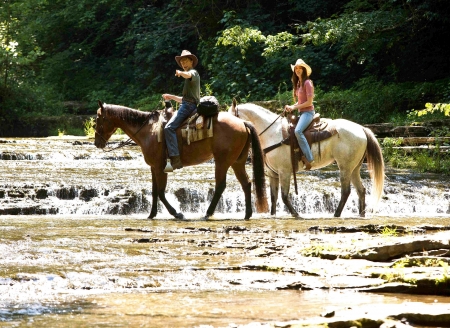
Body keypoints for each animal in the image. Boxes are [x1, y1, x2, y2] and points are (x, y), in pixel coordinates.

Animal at [94, 101, 268, 219]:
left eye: (98, 118)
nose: (97, 143)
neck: (148, 131)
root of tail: (242, 122)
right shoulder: (153, 167)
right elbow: (154, 191)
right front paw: (152, 214)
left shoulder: (160, 167)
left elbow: (161, 192)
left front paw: (177, 213)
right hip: (237, 162)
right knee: (246, 183)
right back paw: (247, 214)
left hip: (222, 162)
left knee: (220, 186)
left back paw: (208, 213)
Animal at [230, 100, 384, 218]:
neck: (273, 133)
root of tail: (362, 129)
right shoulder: (273, 174)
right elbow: (273, 197)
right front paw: (273, 215)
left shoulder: (285, 172)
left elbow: (284, 196)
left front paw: (296, 214)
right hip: (354, 168)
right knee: (361, 190)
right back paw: (361, 214)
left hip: (345, 167)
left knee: (346, 191)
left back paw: (336, 214)